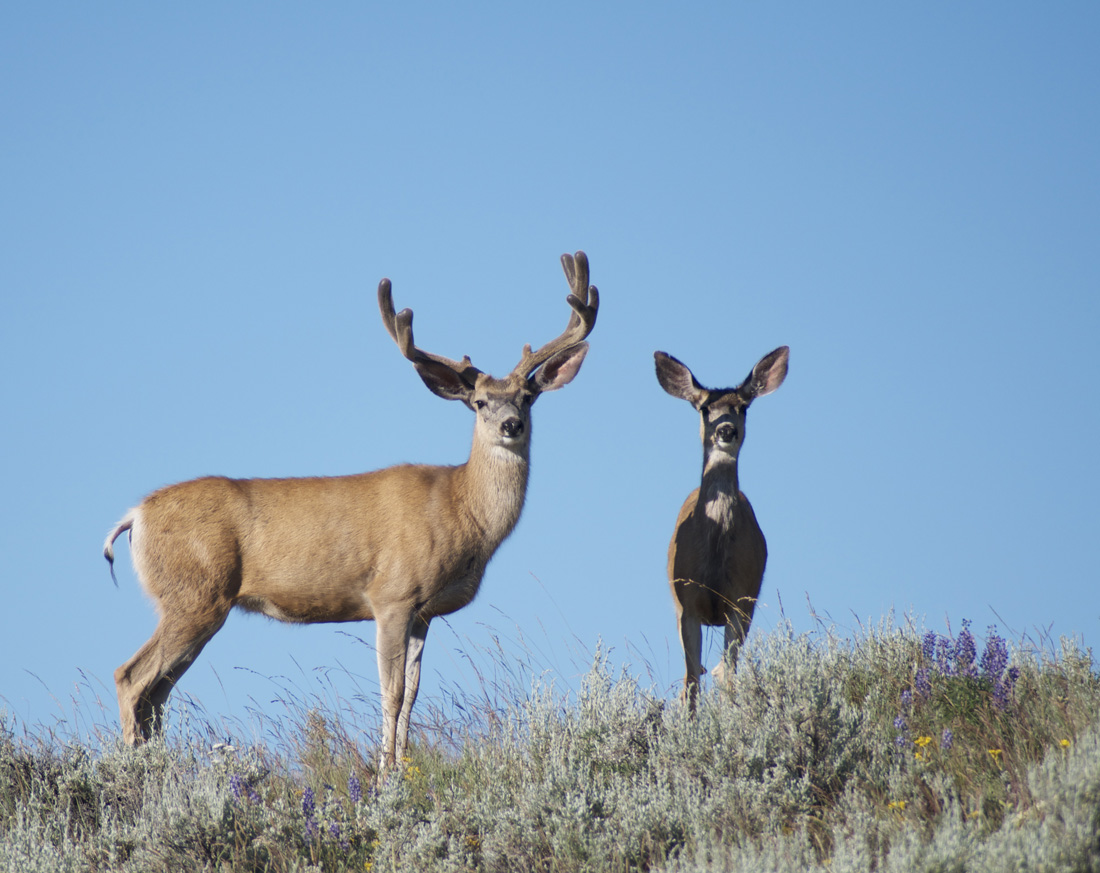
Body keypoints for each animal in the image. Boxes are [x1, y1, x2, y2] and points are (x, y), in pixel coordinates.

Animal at [103, 252, 598, 769]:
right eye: (479, 402)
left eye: (528, 396)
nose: (511, 425)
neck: (461, 510)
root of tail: (135, 516)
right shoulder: (392, 594)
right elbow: (392, 693)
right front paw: (385, 772)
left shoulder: (424, 613)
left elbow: (413, 694)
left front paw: (400, 764)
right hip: (195, 593)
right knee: (131, 676)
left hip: (194, 603)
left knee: (157, 693)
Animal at [654, 345, 788, 709]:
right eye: (704, 409)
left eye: (742, 407)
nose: (726, 431)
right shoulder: (686, 603)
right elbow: (690, 682)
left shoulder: (740, 600)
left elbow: (729, 677)